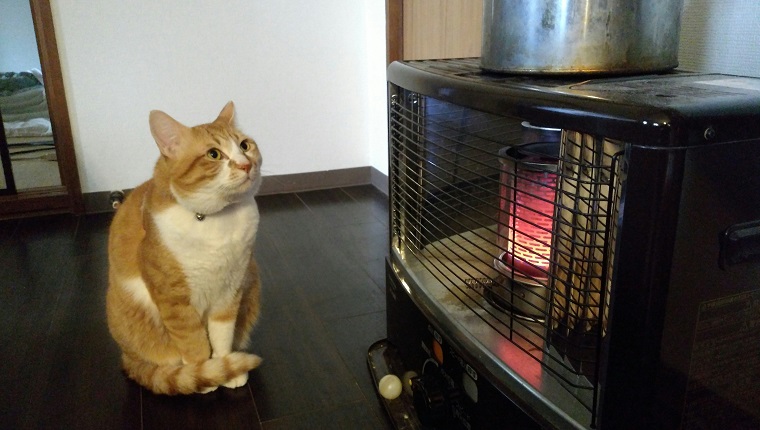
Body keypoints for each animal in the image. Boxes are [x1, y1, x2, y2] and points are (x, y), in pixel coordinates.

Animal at [105, 100, 262, 394]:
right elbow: (193, 342)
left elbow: (222, 335)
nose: (246, 164)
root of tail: (125, 358)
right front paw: (204, 376)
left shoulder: (230, 290)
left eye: (245, 145)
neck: (215, 219)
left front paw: (225, 366)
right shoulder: (173, 299)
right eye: (214, 154)